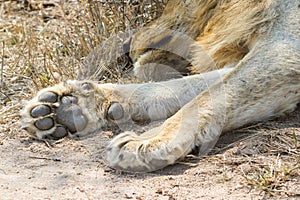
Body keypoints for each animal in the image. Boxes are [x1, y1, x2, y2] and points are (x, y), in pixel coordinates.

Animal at [19, 0, 298, 172]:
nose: (133, 48)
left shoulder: (284, 49)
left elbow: (207, 96)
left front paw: (148, 142)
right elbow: (184, 87)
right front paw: (75, 105)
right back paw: (62, 111)